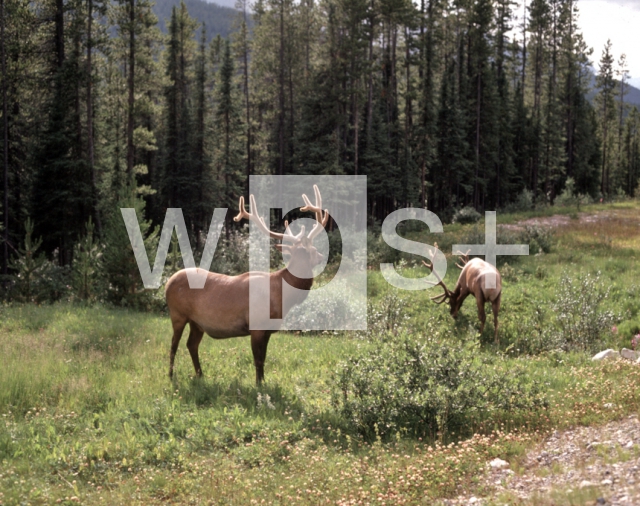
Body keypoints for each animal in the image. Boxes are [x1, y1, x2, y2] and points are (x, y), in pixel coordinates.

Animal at [164, 185, 330, 384]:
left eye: (313, 247)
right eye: (305, 250)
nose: (321, 256)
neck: (282, 297)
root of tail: (167, 283)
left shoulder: (268, 330)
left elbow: (263, 358)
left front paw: (264, 382)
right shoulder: (256, 325)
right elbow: (257, 359)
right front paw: (258, 385)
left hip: (197, 322)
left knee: (191, 344)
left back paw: (200, 375)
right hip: (177, 314)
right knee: (173, 345)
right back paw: (171, 376)